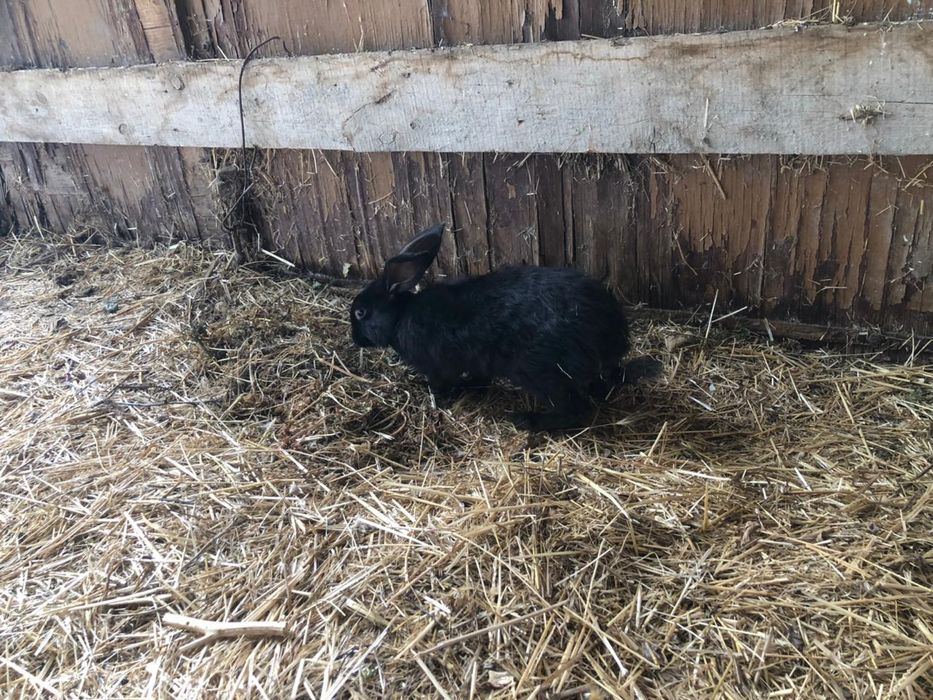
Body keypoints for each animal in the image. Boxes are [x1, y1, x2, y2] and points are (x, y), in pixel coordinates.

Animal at [349, 223, 659, 431]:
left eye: (361, 313)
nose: (354, 339)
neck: (399, 317)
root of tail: (611, 338)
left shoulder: (437, 365)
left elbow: (441, 382)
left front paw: (434, 393)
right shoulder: (477, 363)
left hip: (541, 374)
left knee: (573, 409)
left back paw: (528, 420)